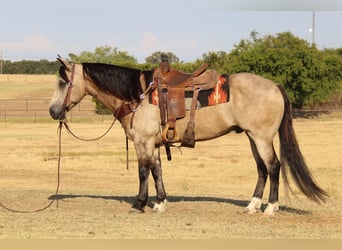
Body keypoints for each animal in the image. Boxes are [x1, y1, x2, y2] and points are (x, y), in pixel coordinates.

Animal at [49, 56, 328, 215]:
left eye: (63, 82)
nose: (53, 111)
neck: (137, 94)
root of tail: (275, 85)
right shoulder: (154, 144)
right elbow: (157, 171)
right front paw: (160, 203)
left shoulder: (143, 142)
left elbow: (143, 171)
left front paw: (140, 203)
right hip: (252, 138)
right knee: (261, 169)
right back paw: (252, 205)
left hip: (262, 138)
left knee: (273, 167)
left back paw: (270, 207)